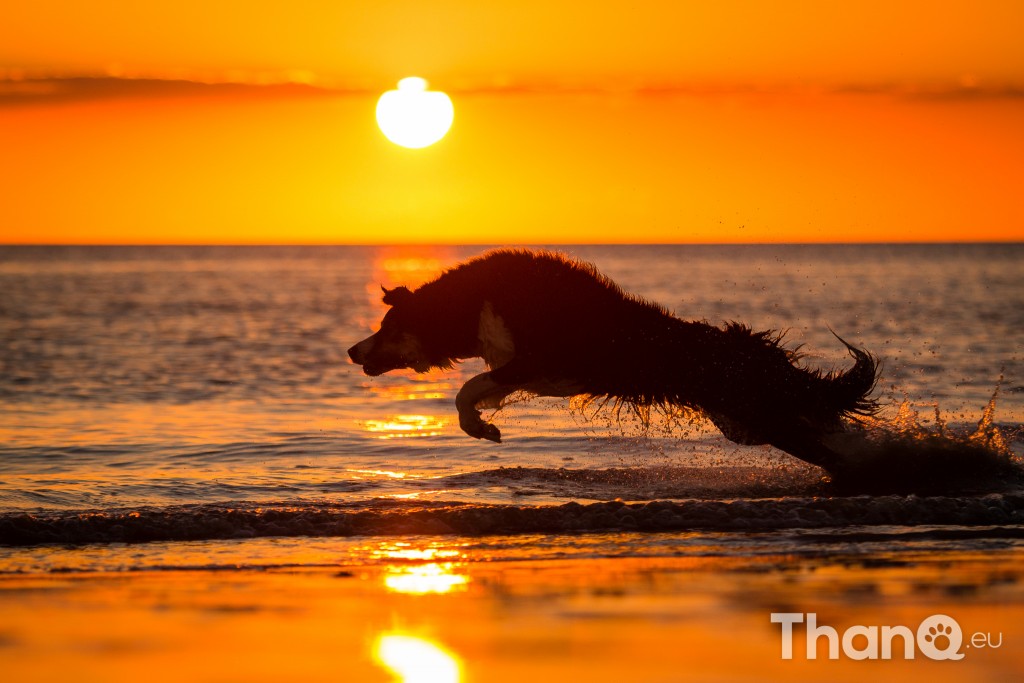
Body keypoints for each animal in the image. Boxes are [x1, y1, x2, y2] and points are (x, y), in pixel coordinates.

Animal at [348, 249, 876, 475]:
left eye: (388, 328)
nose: (353, 351)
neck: (472, 301)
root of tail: (757, 354)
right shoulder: (520, 368)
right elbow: (476, 391)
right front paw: (481, 425)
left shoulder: (534, 361)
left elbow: (466, 390)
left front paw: (481, 427)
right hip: (745, 422)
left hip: (757, 415)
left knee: (827, 443)